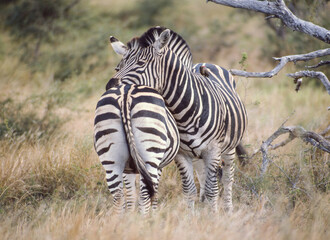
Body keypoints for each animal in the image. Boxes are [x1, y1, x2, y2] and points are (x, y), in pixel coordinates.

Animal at [94, 83, 179, 214]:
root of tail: (125, 94)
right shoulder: (159, 167)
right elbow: (154, 195)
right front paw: (153, 214)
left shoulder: (127, 169)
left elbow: (130, 195)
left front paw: (130, 216)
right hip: (150, 156)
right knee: (145, 196)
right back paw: (145, 220)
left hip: (111, 160)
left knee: (118, 197)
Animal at [108, 26, 248, 212]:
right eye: (118, 68)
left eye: (141, 63)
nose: (110, 86)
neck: (184, 112)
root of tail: (205, 63)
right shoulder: (182, 155)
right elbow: (189, 190)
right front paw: (193, 216)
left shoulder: (213, 151)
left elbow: (213, 190)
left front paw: (214, 217)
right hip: (197, 156)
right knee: (203, 179)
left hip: (229, 147)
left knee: (227, 179)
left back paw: (228, 210)